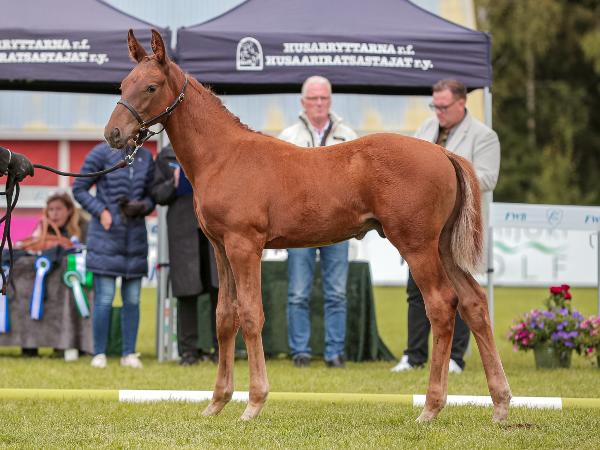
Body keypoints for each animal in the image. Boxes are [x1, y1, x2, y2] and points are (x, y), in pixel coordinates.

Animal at [104, 29, 511, 423]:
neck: (224, 155)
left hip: (417, 245)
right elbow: (225, 317)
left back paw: (431, 407)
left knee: (442, 305)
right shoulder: (220, 247)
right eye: (122, 83)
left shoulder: (244, 244)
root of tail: (443, 151)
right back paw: (500, 403)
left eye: (151, 87)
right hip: (442, 246)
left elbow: (251, 314)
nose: (113, 135)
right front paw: (217, 402)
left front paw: (253, 403)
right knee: (473, 303)